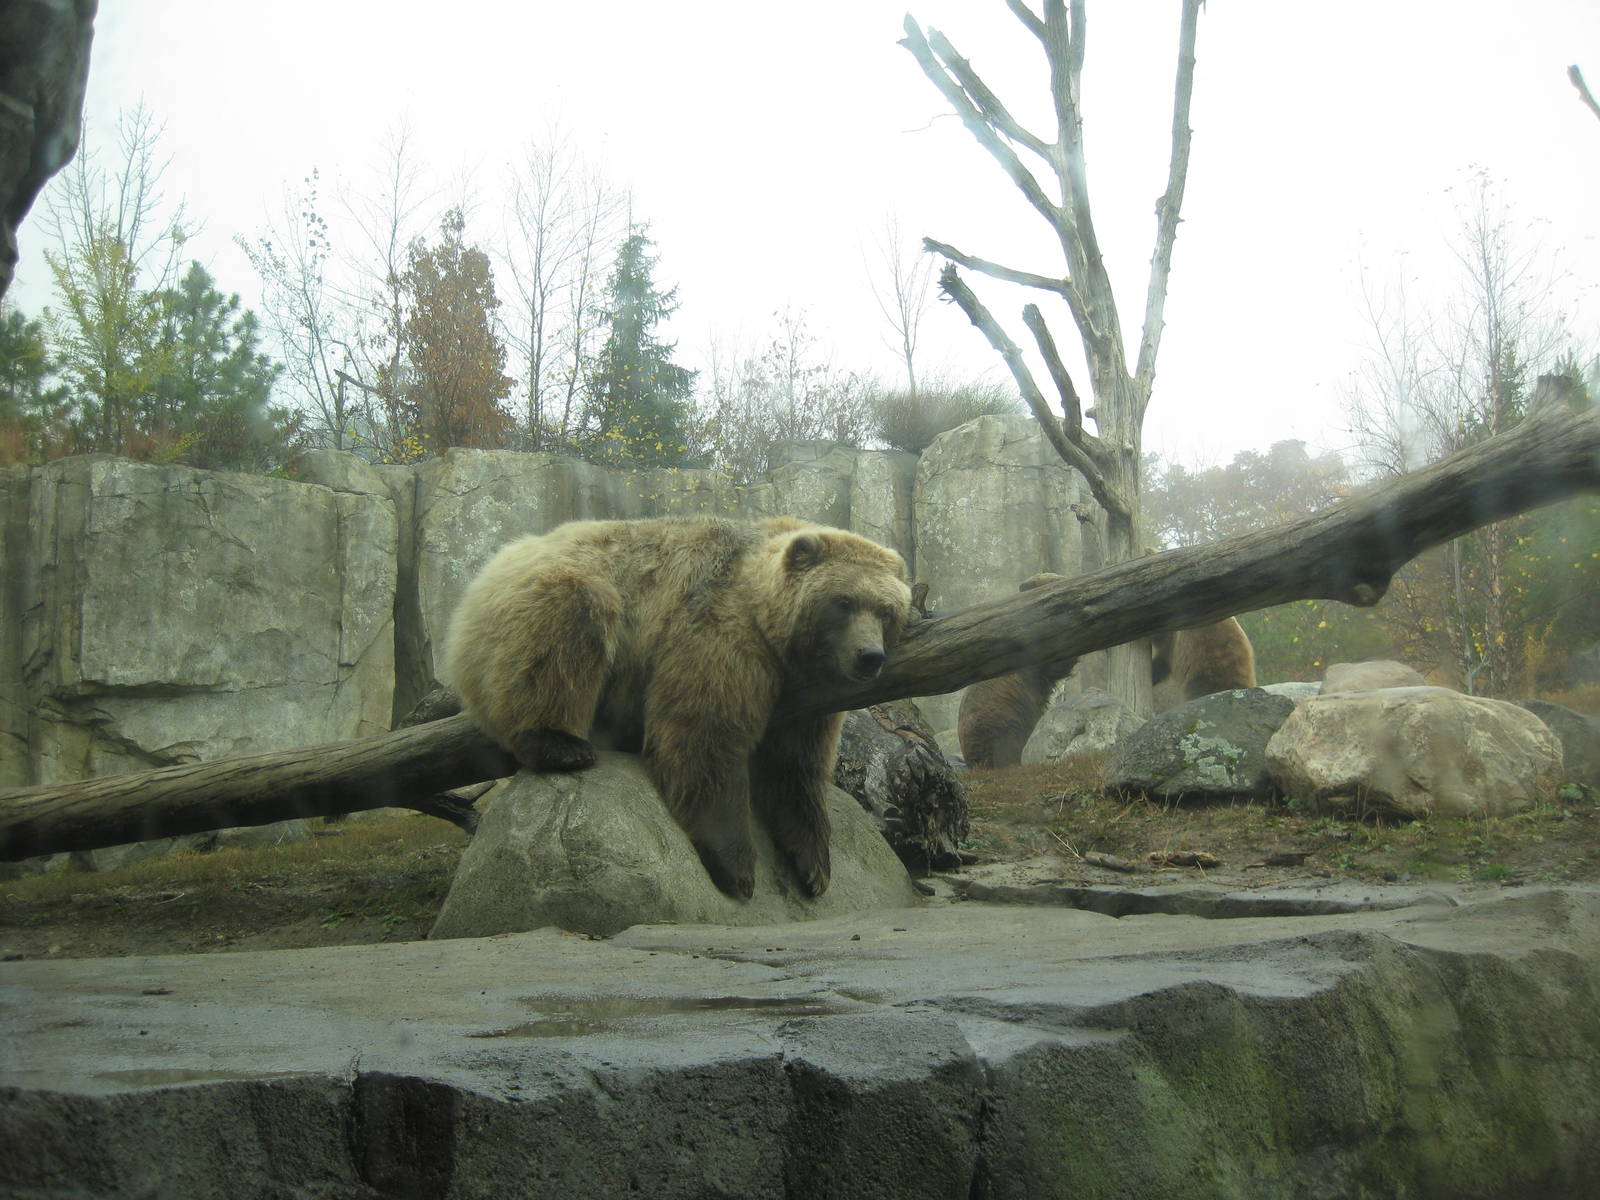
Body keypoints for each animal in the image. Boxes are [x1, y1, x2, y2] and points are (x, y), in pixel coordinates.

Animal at [443, 515, 913, 901]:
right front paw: (736, 867)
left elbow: (796, 766)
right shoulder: (719, 628)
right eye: (844, 602)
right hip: (542, 598)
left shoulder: (808, 698)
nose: (869, 657)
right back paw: (559, 744)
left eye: (886, 610)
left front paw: (814, 865)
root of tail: (495, 562)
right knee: (567, 622)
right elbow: (703, 732)